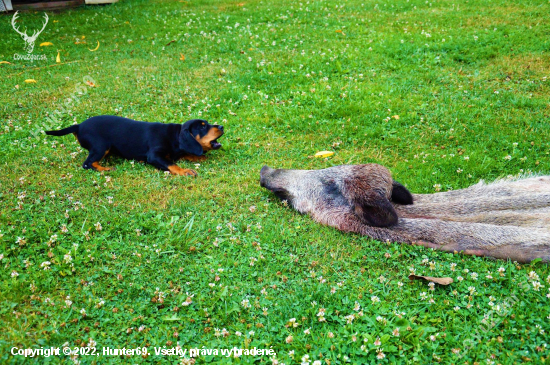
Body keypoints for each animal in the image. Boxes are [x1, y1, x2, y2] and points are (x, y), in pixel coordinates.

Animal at [45, 116, 224, 174]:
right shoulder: (154, 156)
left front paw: (200, 158)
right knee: (87, 163)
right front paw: (185, 171)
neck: (174, 136)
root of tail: (79, 126)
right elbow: (171, 164)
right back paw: (106, 169)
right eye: (202, 126)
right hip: (101, 146)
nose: (222, 126)